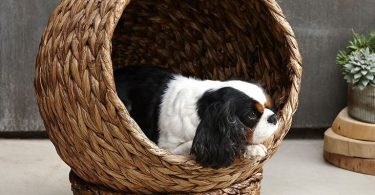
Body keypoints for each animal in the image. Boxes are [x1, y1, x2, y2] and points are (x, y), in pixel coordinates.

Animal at [114, 66, 280, 168]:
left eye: (269, 106)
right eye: (251, 115)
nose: (274, 117)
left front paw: (251, 148)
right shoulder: (167, 148)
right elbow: (192, 145)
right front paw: (250, 147)